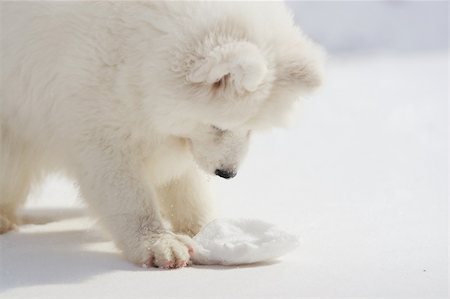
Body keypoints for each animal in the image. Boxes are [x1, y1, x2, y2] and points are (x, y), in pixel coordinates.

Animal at [0, 1, 324, 270]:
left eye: (251, 128)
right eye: (218, 125)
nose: (227, 173)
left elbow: (186, 187)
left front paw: (209, 231)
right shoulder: (96, 115)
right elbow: (124, 191)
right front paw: (159, 245)